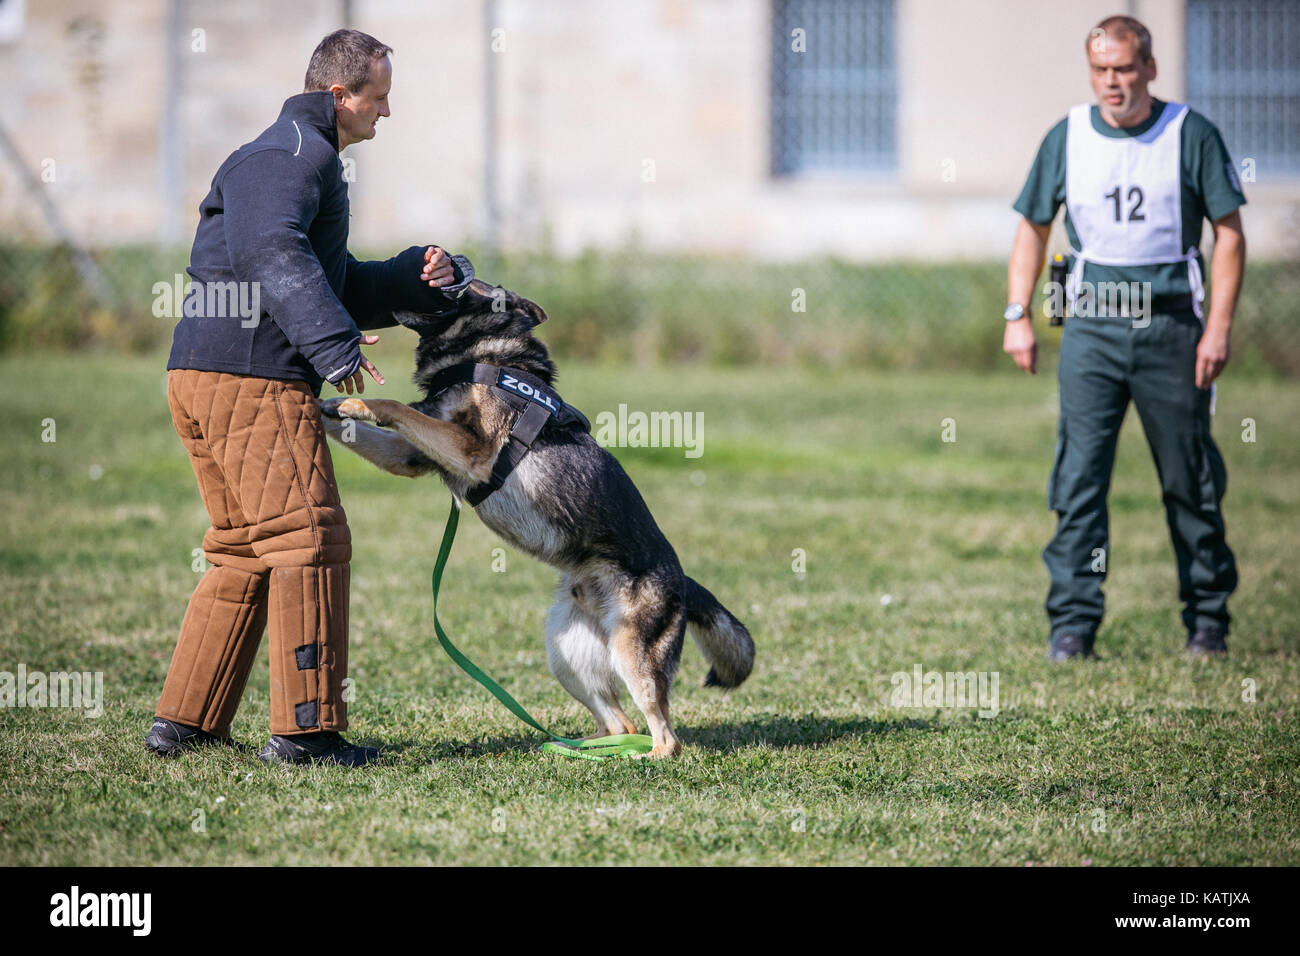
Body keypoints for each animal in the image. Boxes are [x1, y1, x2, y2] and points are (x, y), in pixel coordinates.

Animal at [318, 280, 759, 759]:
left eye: (461, 278)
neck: (488, 354)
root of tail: (681, 580)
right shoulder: (411, 455)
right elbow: (378, 427)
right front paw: (327, 407)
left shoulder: (472, 450)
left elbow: (396, 405)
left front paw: (355, 402)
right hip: (564, 655)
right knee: (619, 722)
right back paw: (584, 752)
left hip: (630, 653)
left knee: (666, 735)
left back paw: (642, 760)